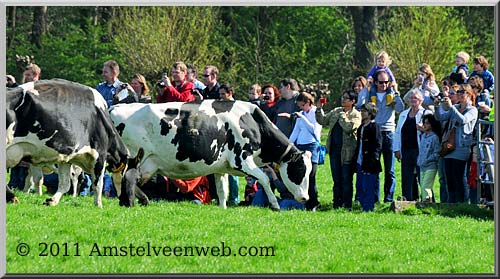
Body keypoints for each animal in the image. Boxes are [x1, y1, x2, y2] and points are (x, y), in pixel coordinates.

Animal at [5, 79, 131, 208]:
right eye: (128, 178)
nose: (127, 203)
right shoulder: (99, 153)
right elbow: (98, 183)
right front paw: (98, 205)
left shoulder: (66, 157)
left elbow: (65, 184)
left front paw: (52, 200)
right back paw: (12, 197)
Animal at [110, 100, 312, 210]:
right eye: (299, 170)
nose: (305, 198)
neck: (252, 122)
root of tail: (114, 107)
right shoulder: (241, 159)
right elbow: (265, 179)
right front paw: (275, 205)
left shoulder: (221, 167)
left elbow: (222, 190)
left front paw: (222, 208)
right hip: (133, 156)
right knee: (126, 178)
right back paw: (130, 201)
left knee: (123, 179)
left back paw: (137, 200)